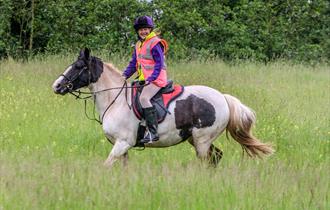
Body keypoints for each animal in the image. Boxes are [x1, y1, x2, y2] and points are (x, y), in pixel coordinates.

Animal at [51, 48, 274, 168]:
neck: (116, 100)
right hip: (195, 139)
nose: (57, 86)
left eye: (78, 67)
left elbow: (107, 164)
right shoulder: (121, 146)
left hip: (202, 139)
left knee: (207, 160)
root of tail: (223, 98)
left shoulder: (123, 143)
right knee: (216, 157)